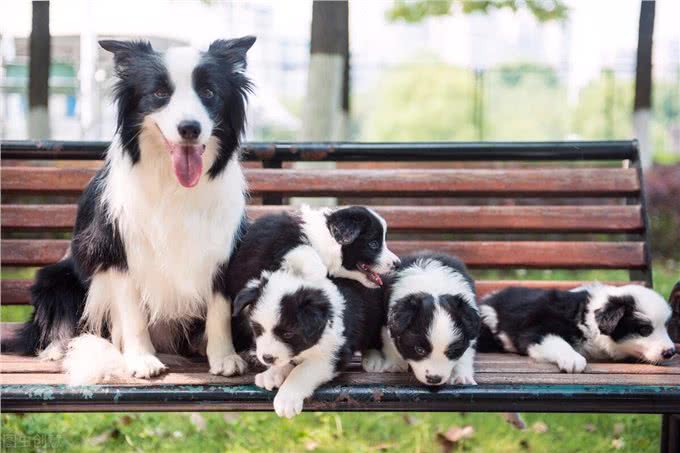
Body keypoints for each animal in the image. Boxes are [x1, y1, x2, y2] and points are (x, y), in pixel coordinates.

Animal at [1, 37, 256, 382]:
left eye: (209, 92)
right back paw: (60, 349)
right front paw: (141, 358)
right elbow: (132, 312)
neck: (172, 184)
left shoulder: (222, 248)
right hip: (55, 279)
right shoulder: (117, 250)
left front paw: (224, 356)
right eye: (159, 93)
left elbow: (219, 309)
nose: (189, 128)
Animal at [232, 268, 386, 416]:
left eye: (288, 334)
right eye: (258, 329)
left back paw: (374, 359)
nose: (267, 358)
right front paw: (272, 374)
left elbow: (302, 371)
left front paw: (287, 399)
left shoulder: (335, 355)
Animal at [364, 251, 480, 384]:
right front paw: (395, 365)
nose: (434, 379)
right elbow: (389, 341)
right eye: (419, 350)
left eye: (452, 351)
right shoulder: (388, 320)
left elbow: (466, 353)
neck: (432, 286)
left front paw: (461, 377)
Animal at [476, 282, 676, 370]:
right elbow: (556, 341)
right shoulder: (536, 329)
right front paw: (573, 359)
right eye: (644, 330)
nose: (671, 352)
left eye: (666, 327)